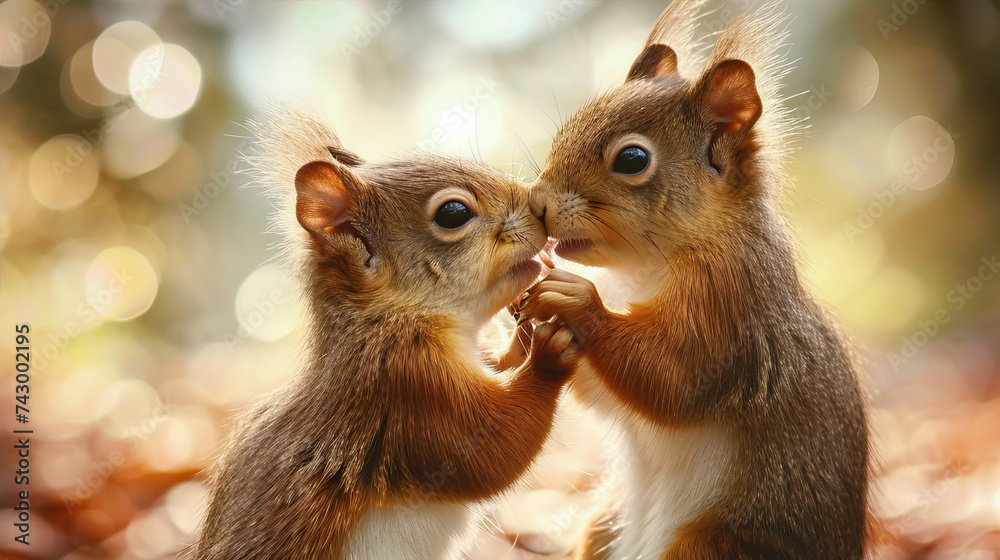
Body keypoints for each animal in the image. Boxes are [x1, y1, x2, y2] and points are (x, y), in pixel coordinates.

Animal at [191, 107, 578, 559]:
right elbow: (492, 446)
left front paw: (521, 336)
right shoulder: (407, 385)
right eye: (453, 213)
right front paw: (548, 355)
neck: (385, 321)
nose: (540, 209)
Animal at [520, 1, 873, 558]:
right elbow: (609, 395)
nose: (536, 202)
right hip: (606, 525)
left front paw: (577, 298)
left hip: (715, 545)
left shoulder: (730, 304)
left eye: (632, 159)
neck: (642, 270)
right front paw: (544, 338)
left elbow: (674, 378)